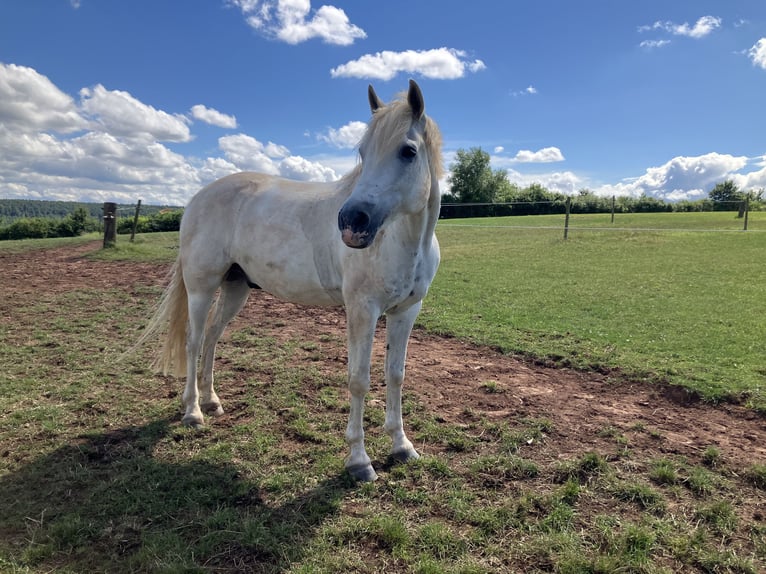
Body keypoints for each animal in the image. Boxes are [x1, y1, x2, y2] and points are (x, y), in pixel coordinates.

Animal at [140, 80, 443, 482]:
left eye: (408, 151)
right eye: (363, 152)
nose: (351, 221)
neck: (403, 241)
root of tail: (196, 199)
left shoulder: (406, 311)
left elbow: (395, 375)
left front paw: (401, 446)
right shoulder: (362, 311)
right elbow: (359, 379)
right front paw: (359, 461)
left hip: (235, 288)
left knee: (212, 337)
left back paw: (212, 401)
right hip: (201, 287)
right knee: (193, 341)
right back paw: (193, 412)